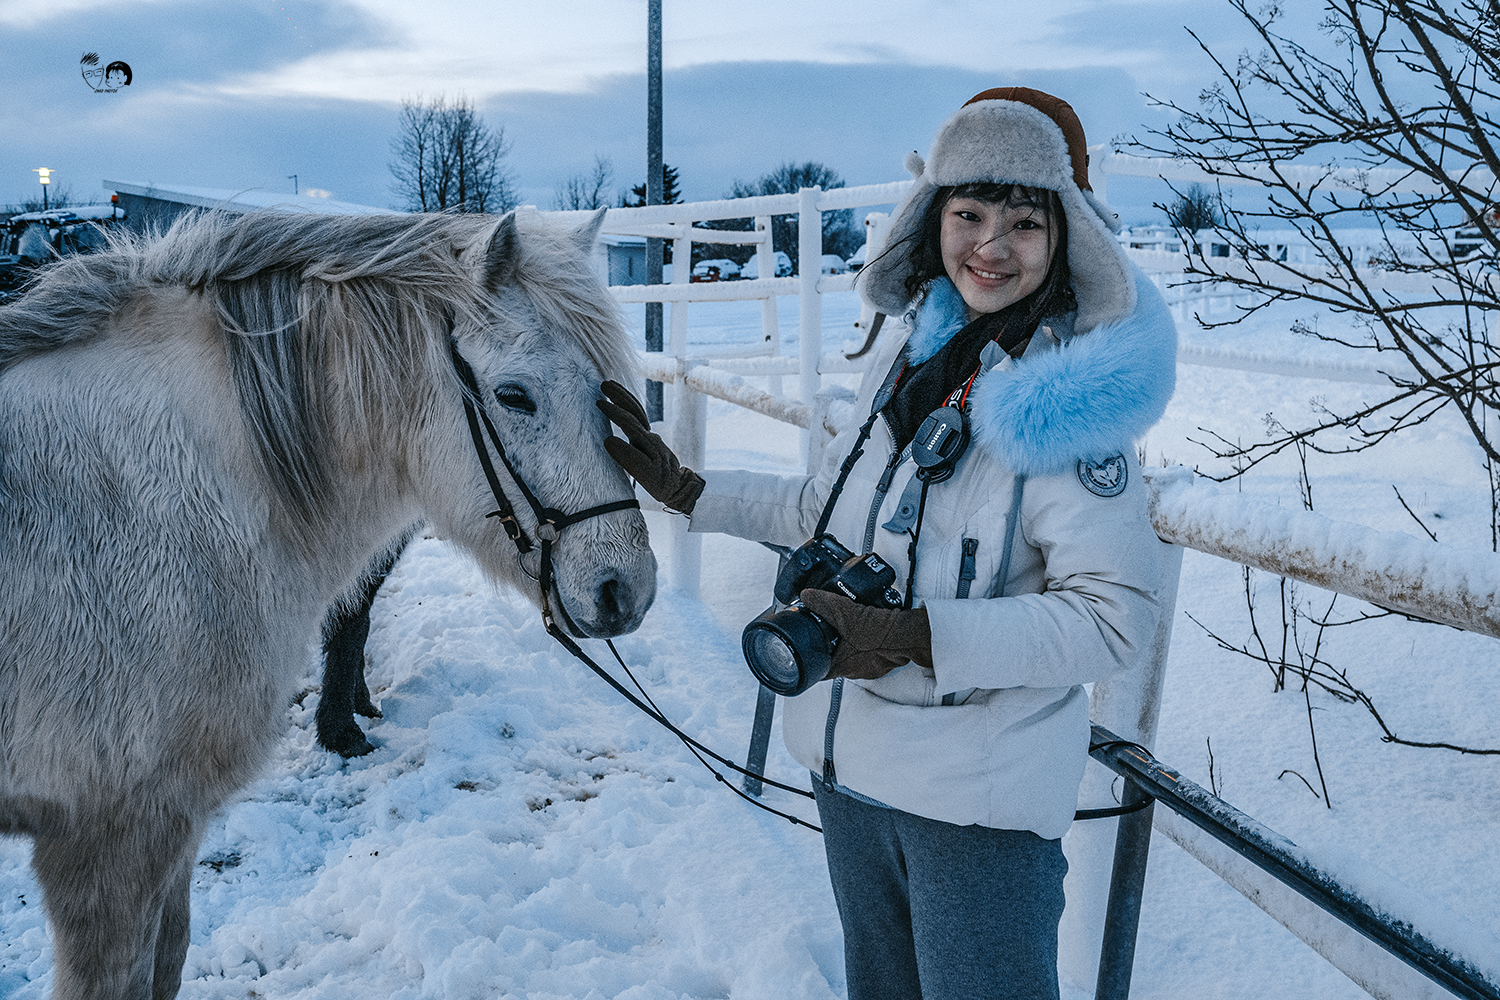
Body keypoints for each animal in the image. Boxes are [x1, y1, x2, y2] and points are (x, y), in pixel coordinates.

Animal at [0, 206, 657, 995]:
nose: (627, 588)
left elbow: (171, 959)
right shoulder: (109, 840)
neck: (149, 501)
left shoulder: (173, 821)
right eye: (513, 395)